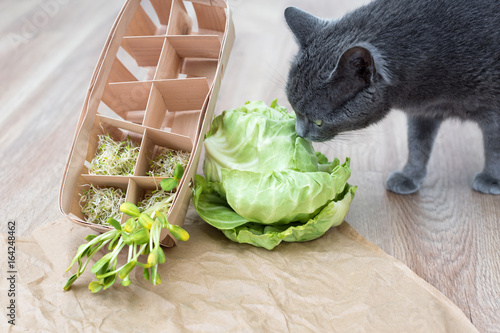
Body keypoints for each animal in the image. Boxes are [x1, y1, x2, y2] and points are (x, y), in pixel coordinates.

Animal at [286, 0, 500, 193]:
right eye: (294, 110)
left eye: (318, 122)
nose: (299, 133)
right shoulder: (424, 112)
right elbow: (417, 144)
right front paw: (409, 176)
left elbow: (494, 146)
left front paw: (491, 179)